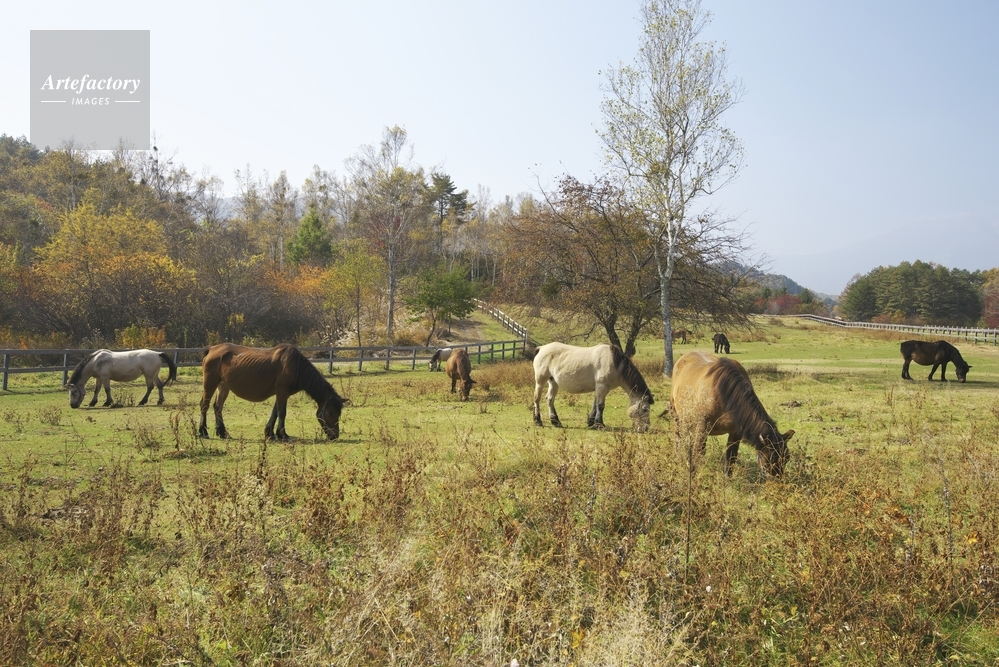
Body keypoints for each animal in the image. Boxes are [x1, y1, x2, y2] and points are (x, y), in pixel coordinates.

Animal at [198, 343, 346, 441]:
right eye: (331, 413)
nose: (334, 436)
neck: (295, 366)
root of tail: (211, 349)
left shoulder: (281, 393)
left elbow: (275, 412)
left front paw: (270, 433)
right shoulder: (282, 391)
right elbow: (282, 413)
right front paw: (282, 434)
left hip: (223, 386)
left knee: (218, 407)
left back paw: (223, 433)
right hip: (210, 384)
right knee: (204, 405)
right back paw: (203, 432)